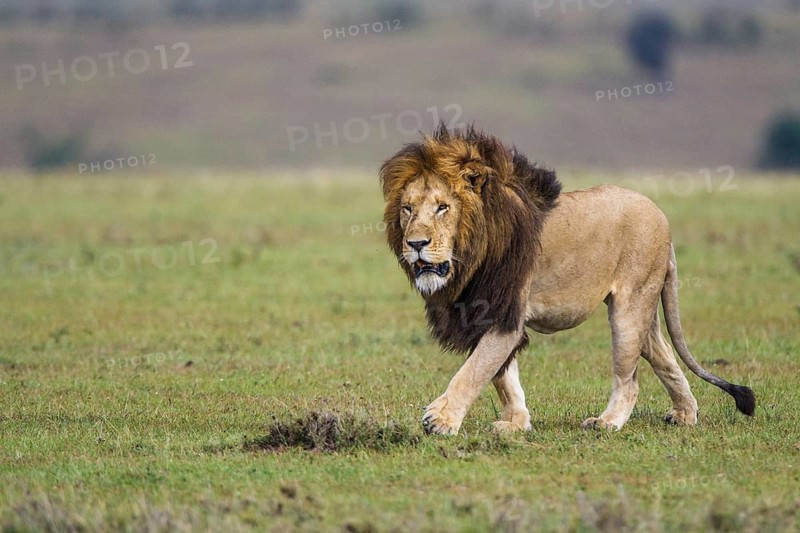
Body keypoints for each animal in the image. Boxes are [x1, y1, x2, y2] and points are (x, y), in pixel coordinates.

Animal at [379, 124, 755, 435]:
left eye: (442, 207)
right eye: (408, 209)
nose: (416, 244)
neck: (472, 252)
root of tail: (662, 216)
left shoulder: (505, 311)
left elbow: (475, 370)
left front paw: (441, 420)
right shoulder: (481, 312)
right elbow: (501, 374)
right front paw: (516, 422)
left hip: (629, 308)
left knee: (630, 378)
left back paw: (607, 422)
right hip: (644, 309)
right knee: (662, 355)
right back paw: (685, 414)